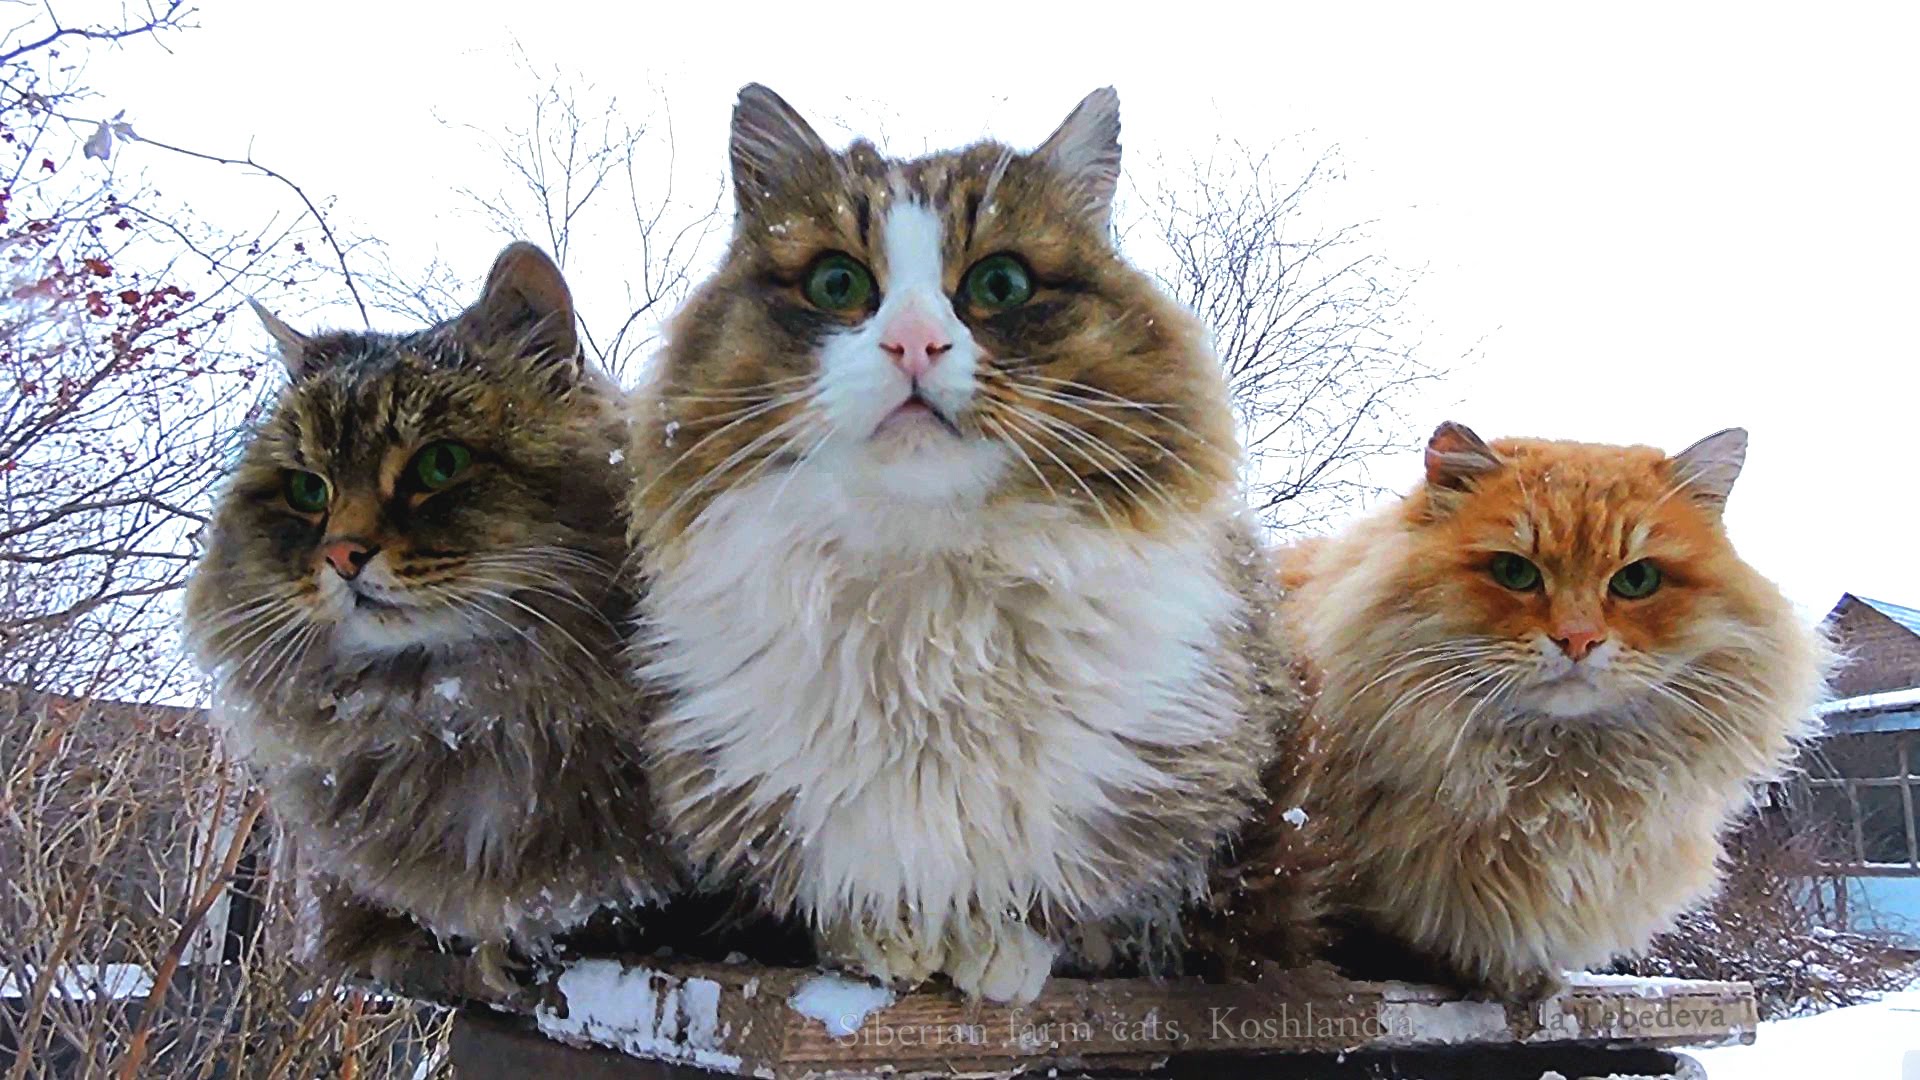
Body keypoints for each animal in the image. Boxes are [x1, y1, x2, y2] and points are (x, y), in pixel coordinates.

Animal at [629, 84, 1320, 999]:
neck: (928, 604)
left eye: (1001, 283)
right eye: (837, 282)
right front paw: (887, 937)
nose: (914, 343)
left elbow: (1070, 905)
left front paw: (1000, 944)